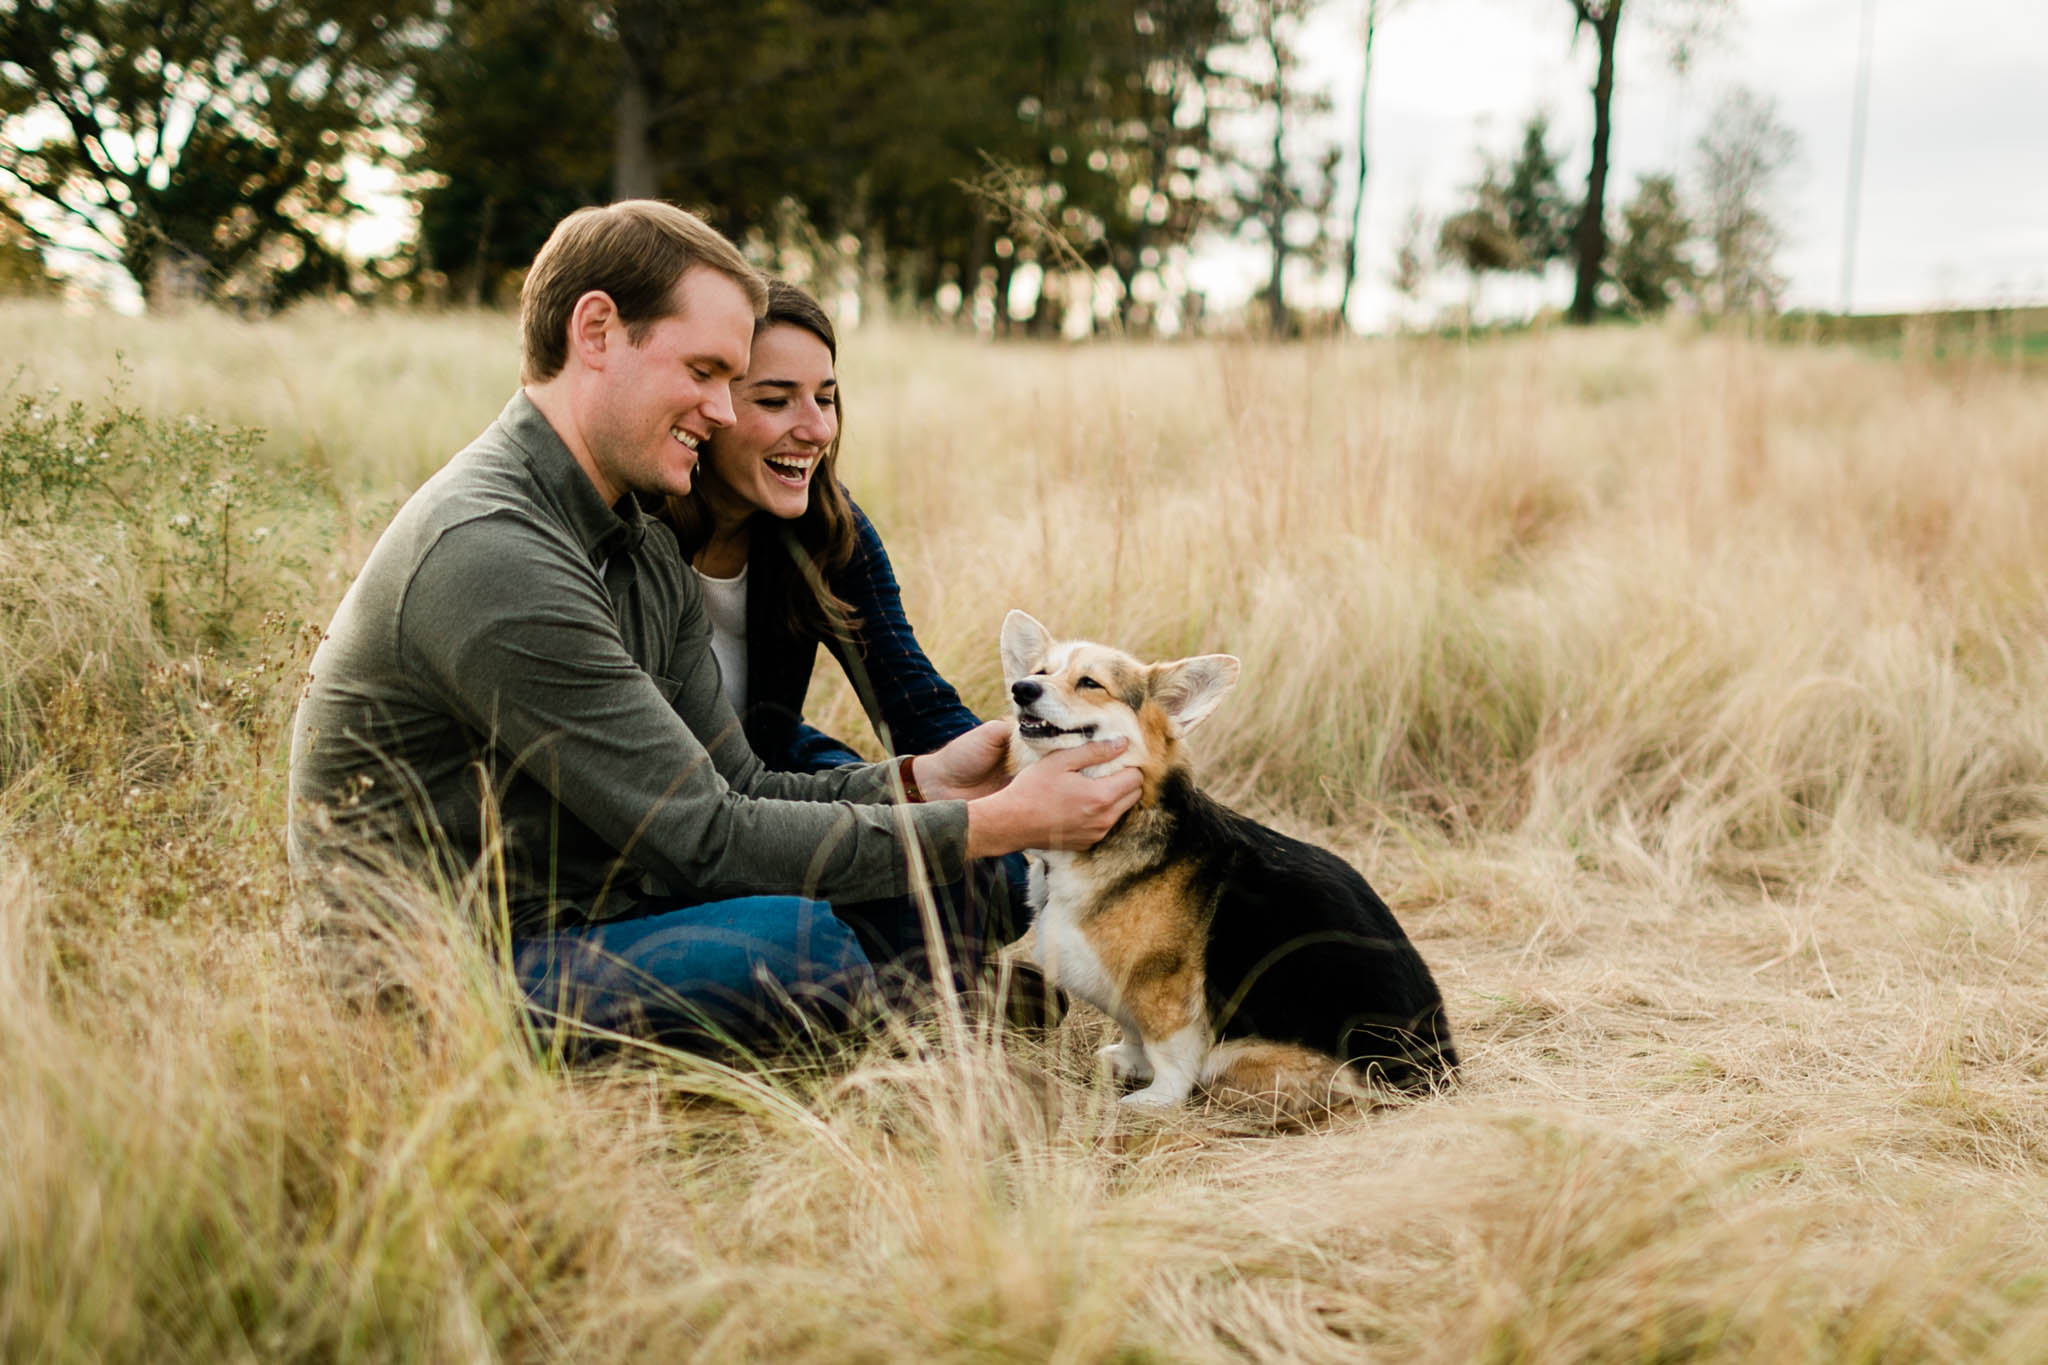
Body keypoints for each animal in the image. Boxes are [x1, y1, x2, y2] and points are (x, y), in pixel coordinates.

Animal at [1003, 613, 1458, 1113]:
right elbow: (1133, 1032)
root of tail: (1436, 1073)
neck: (1129, 818)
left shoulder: (1163, 987)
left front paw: (1155, 1098)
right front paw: (1128, 1060)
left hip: (1240, 1057)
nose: (1022, 688)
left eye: (1089, 682)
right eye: (1042, 672)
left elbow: (1166, 1050)